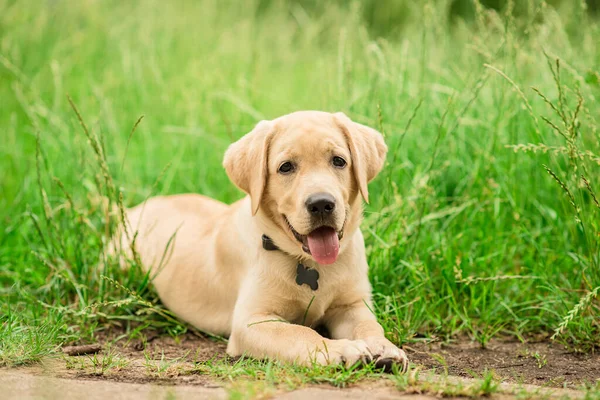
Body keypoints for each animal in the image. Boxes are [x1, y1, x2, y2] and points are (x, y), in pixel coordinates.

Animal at [116, 109, 406, 368]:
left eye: (339, 161)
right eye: (286, 167)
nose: (322, 204)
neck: (309, 262)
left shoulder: (352, 304)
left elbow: (369, 324)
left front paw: (383, 347)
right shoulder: (251, 321)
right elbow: (299, 333)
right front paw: (339, 349)